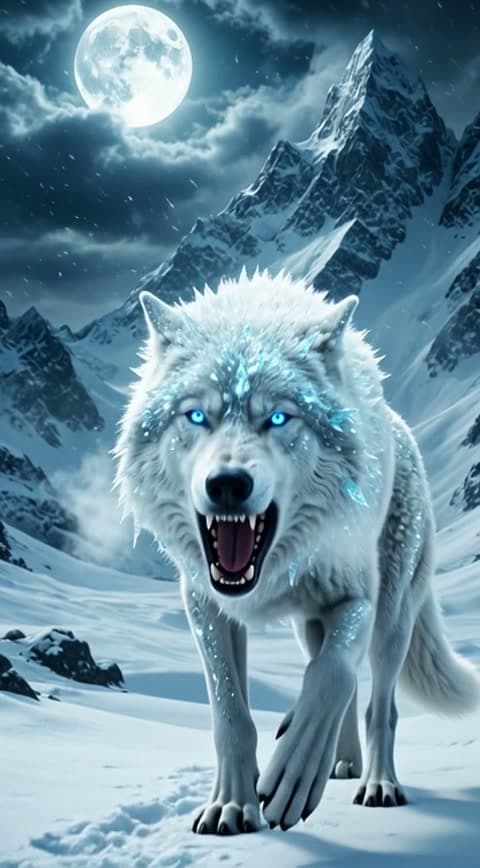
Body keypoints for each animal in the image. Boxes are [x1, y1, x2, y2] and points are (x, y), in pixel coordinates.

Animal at [113, 268, 480, 835]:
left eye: (279, 419)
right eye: (196, 416)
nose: (228, 485)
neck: (271, 572)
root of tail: (400, 425)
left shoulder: (357, 597)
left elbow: (332, 677)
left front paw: (296, 769)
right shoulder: (205, 606)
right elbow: (231, 714)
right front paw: (232, 805)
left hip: (392, 617)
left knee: (378, 703)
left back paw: (377, 783)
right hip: (310, 626)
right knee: (336, 678)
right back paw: (343, 764)